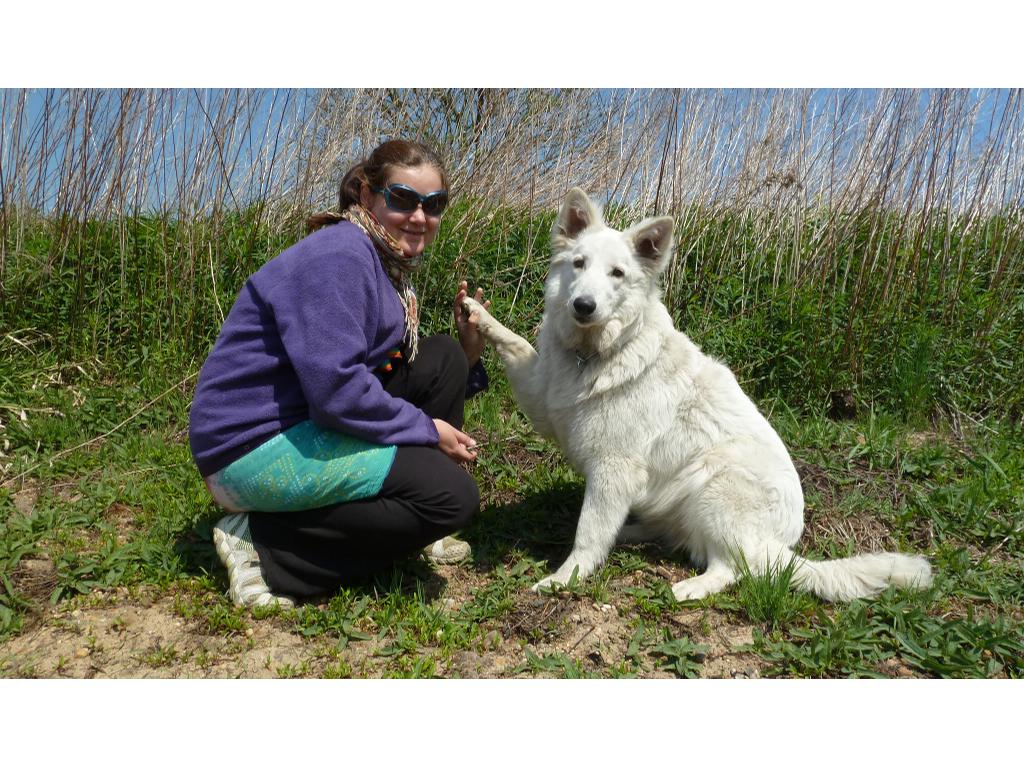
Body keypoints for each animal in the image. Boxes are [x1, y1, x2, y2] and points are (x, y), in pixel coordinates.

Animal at [464, 188, 937, 602]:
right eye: (578, 264)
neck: (596, 354)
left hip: (714, 483)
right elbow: (515, 344)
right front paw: (477, 314)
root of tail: (782, 545)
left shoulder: (614, 469)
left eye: (617, 274)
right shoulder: (543, 403)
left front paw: (566, 578)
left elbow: (589, 535)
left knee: (734, 568)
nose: (583, 306)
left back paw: (689, 588)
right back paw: (632, 534)